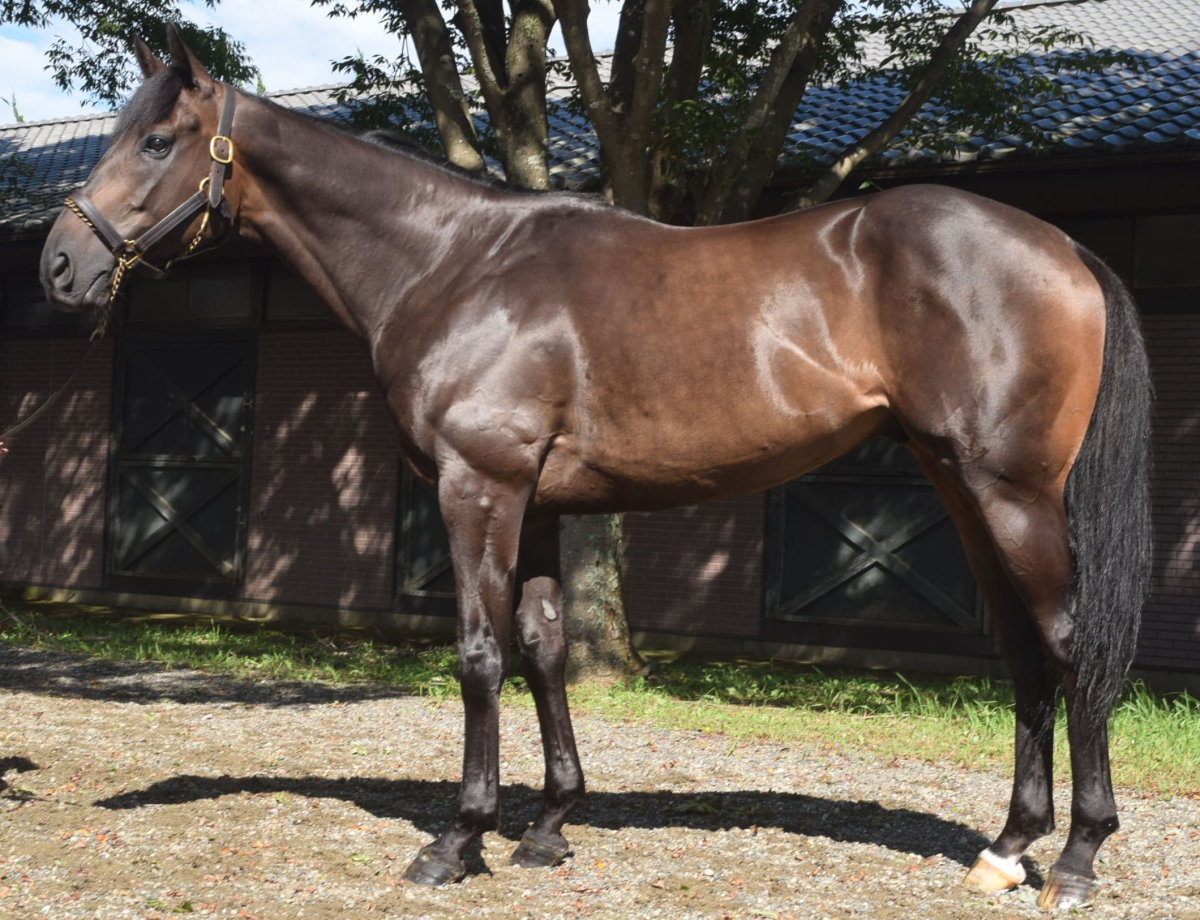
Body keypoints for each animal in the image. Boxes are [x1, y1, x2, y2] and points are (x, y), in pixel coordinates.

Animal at [39, 27, 1151, 910]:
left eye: (157, 140)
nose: (58, 266)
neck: (453, 263)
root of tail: (1063, 249)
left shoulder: (477, 486)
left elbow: (478, 654)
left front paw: (458, 840)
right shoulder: (533, 502)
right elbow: (543, 646)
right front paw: (547, 826)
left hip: (1012, 495)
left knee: (1066, 644)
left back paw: (1078, 857)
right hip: (963, 490)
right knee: (1023, 653)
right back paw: (1005, 848)